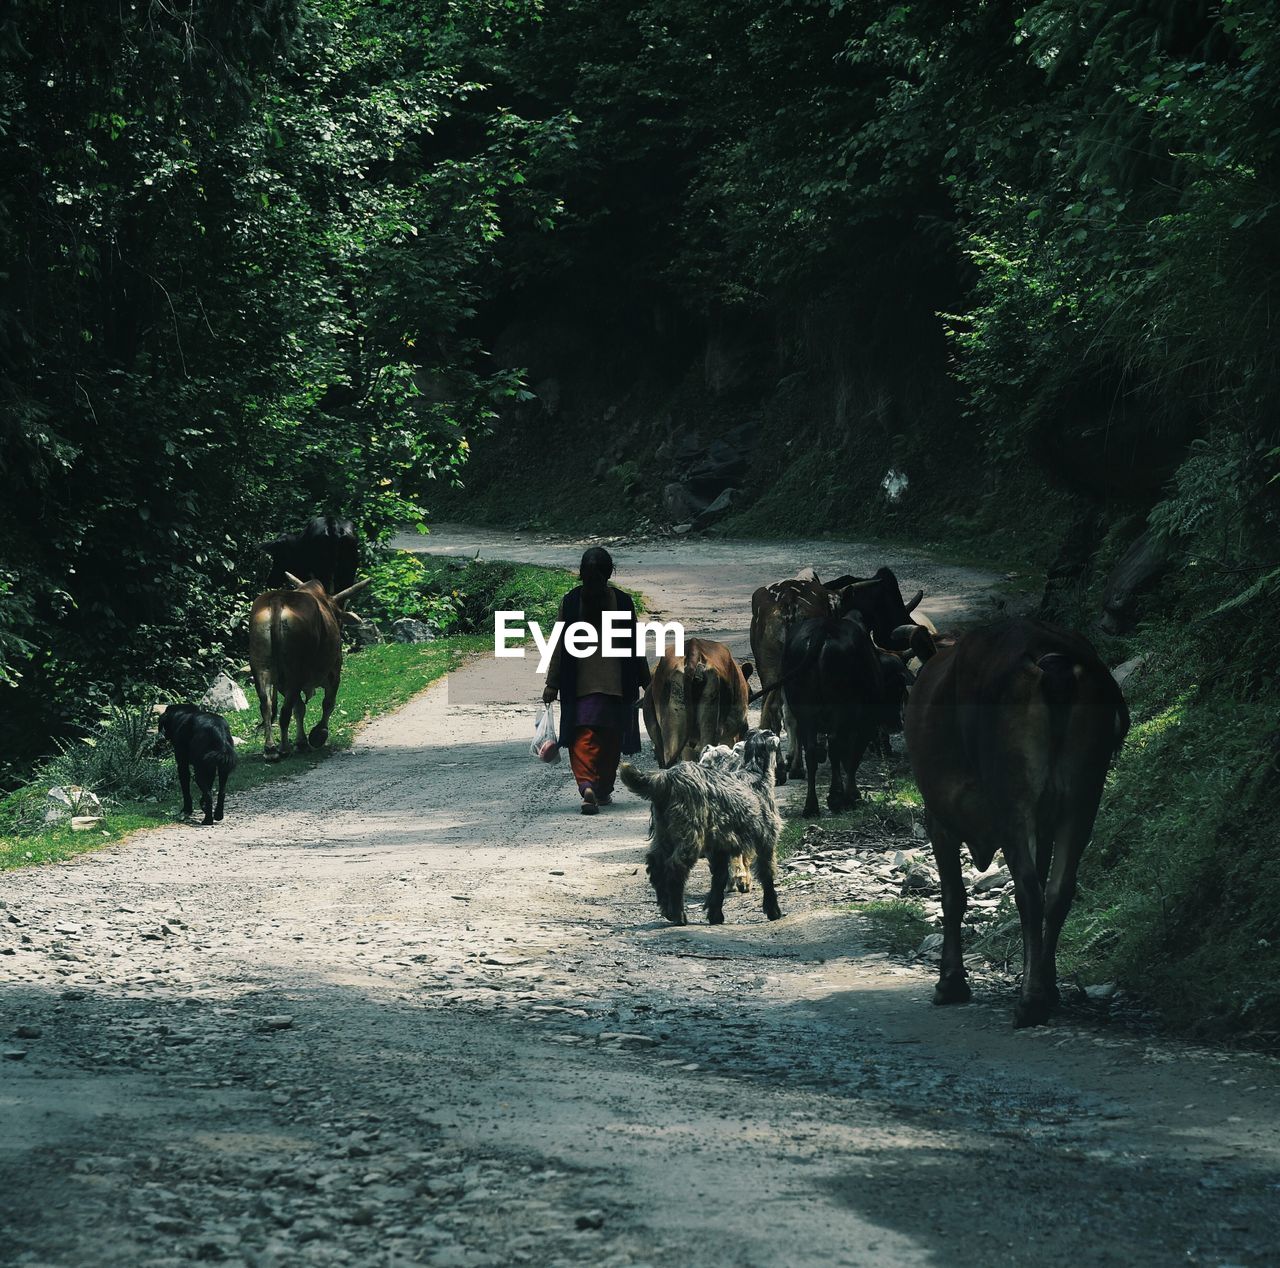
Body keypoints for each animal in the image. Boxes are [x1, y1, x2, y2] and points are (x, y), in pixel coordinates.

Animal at [158, 701, 238, 829]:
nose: (163, 736)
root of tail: (217, 730)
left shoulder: (182, 765)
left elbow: (186, 790)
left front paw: (187, 810)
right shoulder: (210, 768)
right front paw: (203, 805)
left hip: (199, 770)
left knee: (209, 795)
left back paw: (207, 820)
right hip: (222, 768)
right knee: (221, 792)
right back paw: (218, 815)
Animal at [247, 575, 371, 762]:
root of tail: (277, 600)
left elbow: (299, 708)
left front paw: (302, 742)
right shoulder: (334, 671)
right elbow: (328, 703)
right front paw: (318, 734)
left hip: (262, 669)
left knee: (266, 706)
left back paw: (270, 749)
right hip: (295, 672)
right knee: (285, 711)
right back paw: (284, 748)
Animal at [616, 726, 783, 926]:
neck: (755, 773)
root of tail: (666, 779)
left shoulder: (721, 845)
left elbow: (719, 878)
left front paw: (715, 914)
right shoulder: (766, 838)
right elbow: (767, 873)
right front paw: (773, 910)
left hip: (664, 831)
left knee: (656, 865)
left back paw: (666, 908)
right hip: (689, 832)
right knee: (675, 867)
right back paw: (678, 914)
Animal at [778, 609, 911, 818]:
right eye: (897, 687)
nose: (896, 724)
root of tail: (823, 629)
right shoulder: (865, 723)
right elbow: (851, 758)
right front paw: (852, 795)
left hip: (805, 712)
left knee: (812, 751)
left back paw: (811, 806)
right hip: (841, 711)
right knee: (835, 745)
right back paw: (837, 799)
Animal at [901, 619, 1131, 1028]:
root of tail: (1051, 656)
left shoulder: (938, 817)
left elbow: (953, 896)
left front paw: (950, 982)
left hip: (1013, 800)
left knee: (1028, 889)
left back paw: (1030, 1001)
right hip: (1083, 796)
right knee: (1057, 890)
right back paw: (1046, 989)